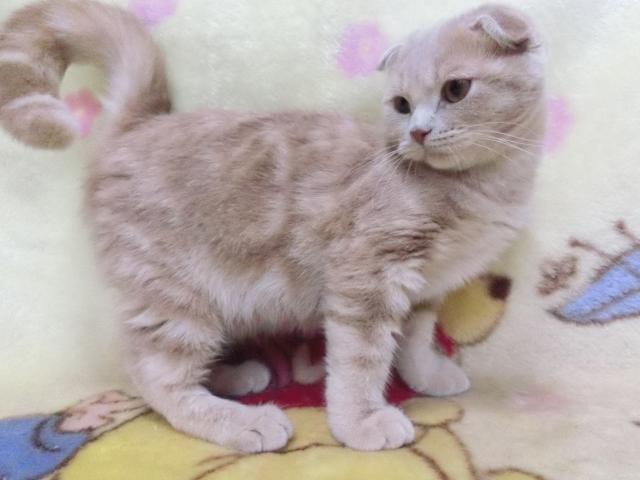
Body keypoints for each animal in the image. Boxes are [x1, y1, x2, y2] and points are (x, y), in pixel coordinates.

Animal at [0, 1, 546, 452]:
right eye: (402, 105)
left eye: (456, 90)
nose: (418, 132)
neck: (479, 187)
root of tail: (140, 124)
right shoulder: (366, 275)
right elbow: (361, 360)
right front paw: (362, 420)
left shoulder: (425, 288)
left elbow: (413, 339)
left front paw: (427, 374)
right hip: (172, 293)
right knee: (154, 375)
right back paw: (239, 420)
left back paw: (233, 377)